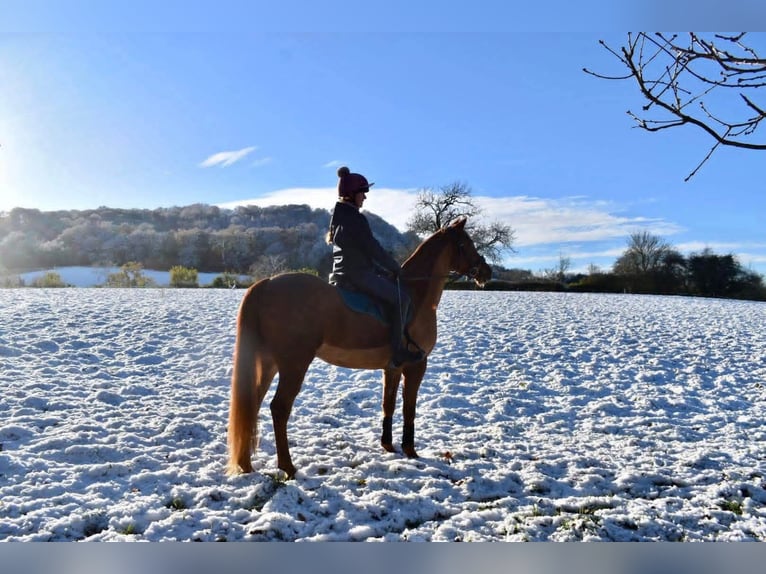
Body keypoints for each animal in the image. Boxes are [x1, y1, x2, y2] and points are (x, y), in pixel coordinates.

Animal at [226, 217, 492, 478]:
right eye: (466, 244)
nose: (487, 271)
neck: (416, 295)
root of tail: (268, 284)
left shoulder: (393, 368)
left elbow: (389, 404)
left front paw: (388, 445)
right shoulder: (416, 365)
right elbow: (409, 408)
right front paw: (410, 450)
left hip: (269, 363)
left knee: (252, 403)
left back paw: (246, 464)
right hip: (294, 364)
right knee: (279, 408)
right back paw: (288, 467)